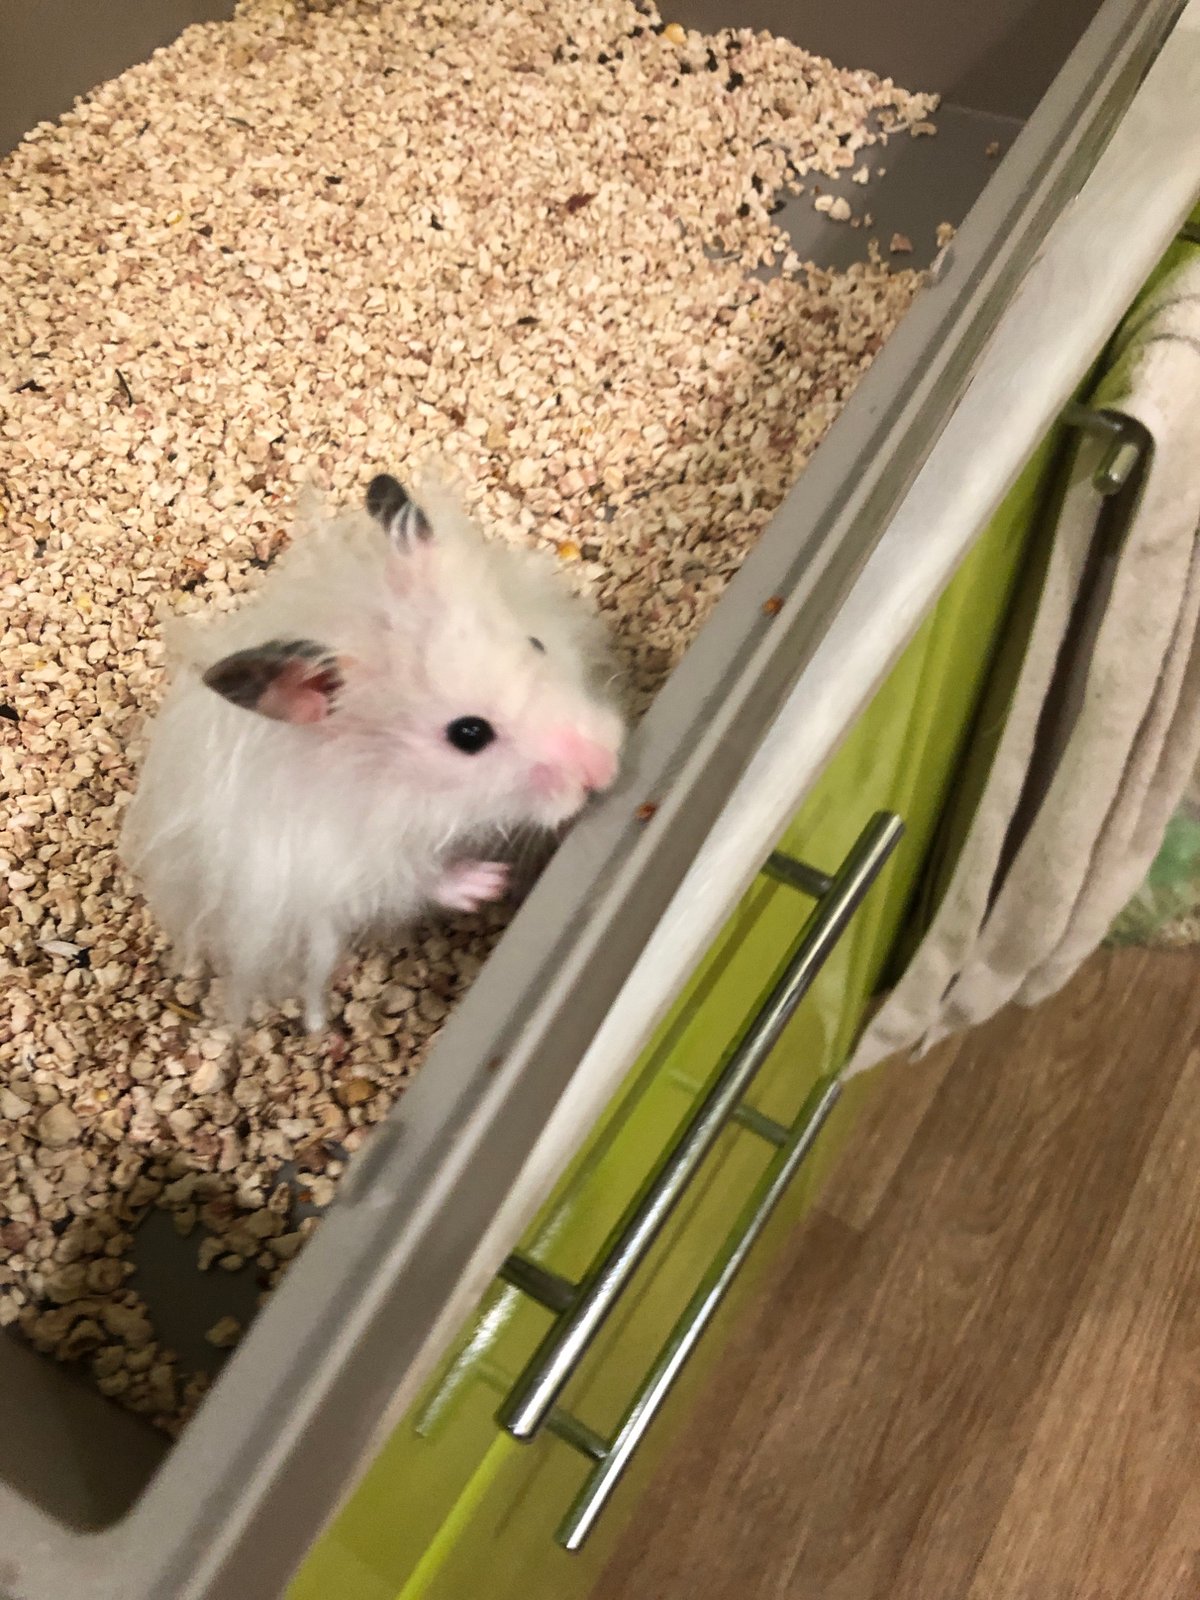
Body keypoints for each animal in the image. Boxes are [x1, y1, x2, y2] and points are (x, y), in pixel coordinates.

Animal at [120, 469, 626, 1029]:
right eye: (468, 734)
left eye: (536, 644)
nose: (609, 765)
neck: (401, 784)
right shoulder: (350, 866)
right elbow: (418, 881)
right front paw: (489, 884)